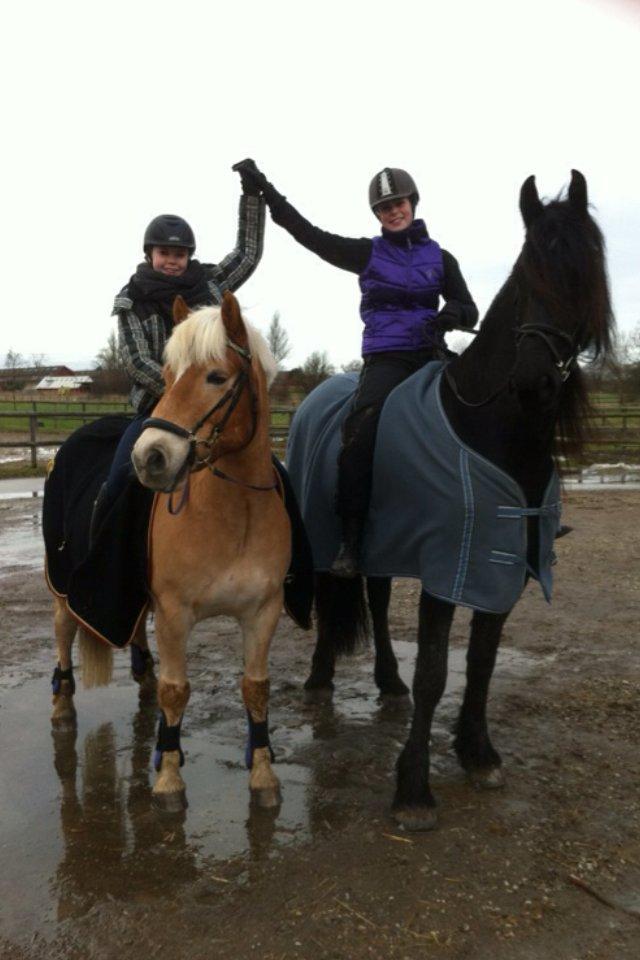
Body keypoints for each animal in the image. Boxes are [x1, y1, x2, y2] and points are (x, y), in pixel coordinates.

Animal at [50, 290, 290, 808]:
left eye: (216, 376)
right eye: (167, 373)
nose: (151, 458)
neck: (233, 516)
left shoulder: (263, 610)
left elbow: (256, 689)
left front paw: (263, 774)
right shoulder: (176, 612)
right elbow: (177, 691)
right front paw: (169, 779)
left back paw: (142, 675)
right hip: (61, 585)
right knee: (63, 631)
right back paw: (61, 705)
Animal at [294, 171, 616, 824]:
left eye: (583, 271)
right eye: (528, 273)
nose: (533, 381)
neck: (492, 432)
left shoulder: (504, 567)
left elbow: (481, 663)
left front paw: (477, 752)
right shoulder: (449, 569)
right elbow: (436, 673)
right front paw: (414, 790)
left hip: (382, 541)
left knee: (375, 593)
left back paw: (386, 681)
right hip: (323, 535)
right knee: (328, 591)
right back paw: (320, 679)